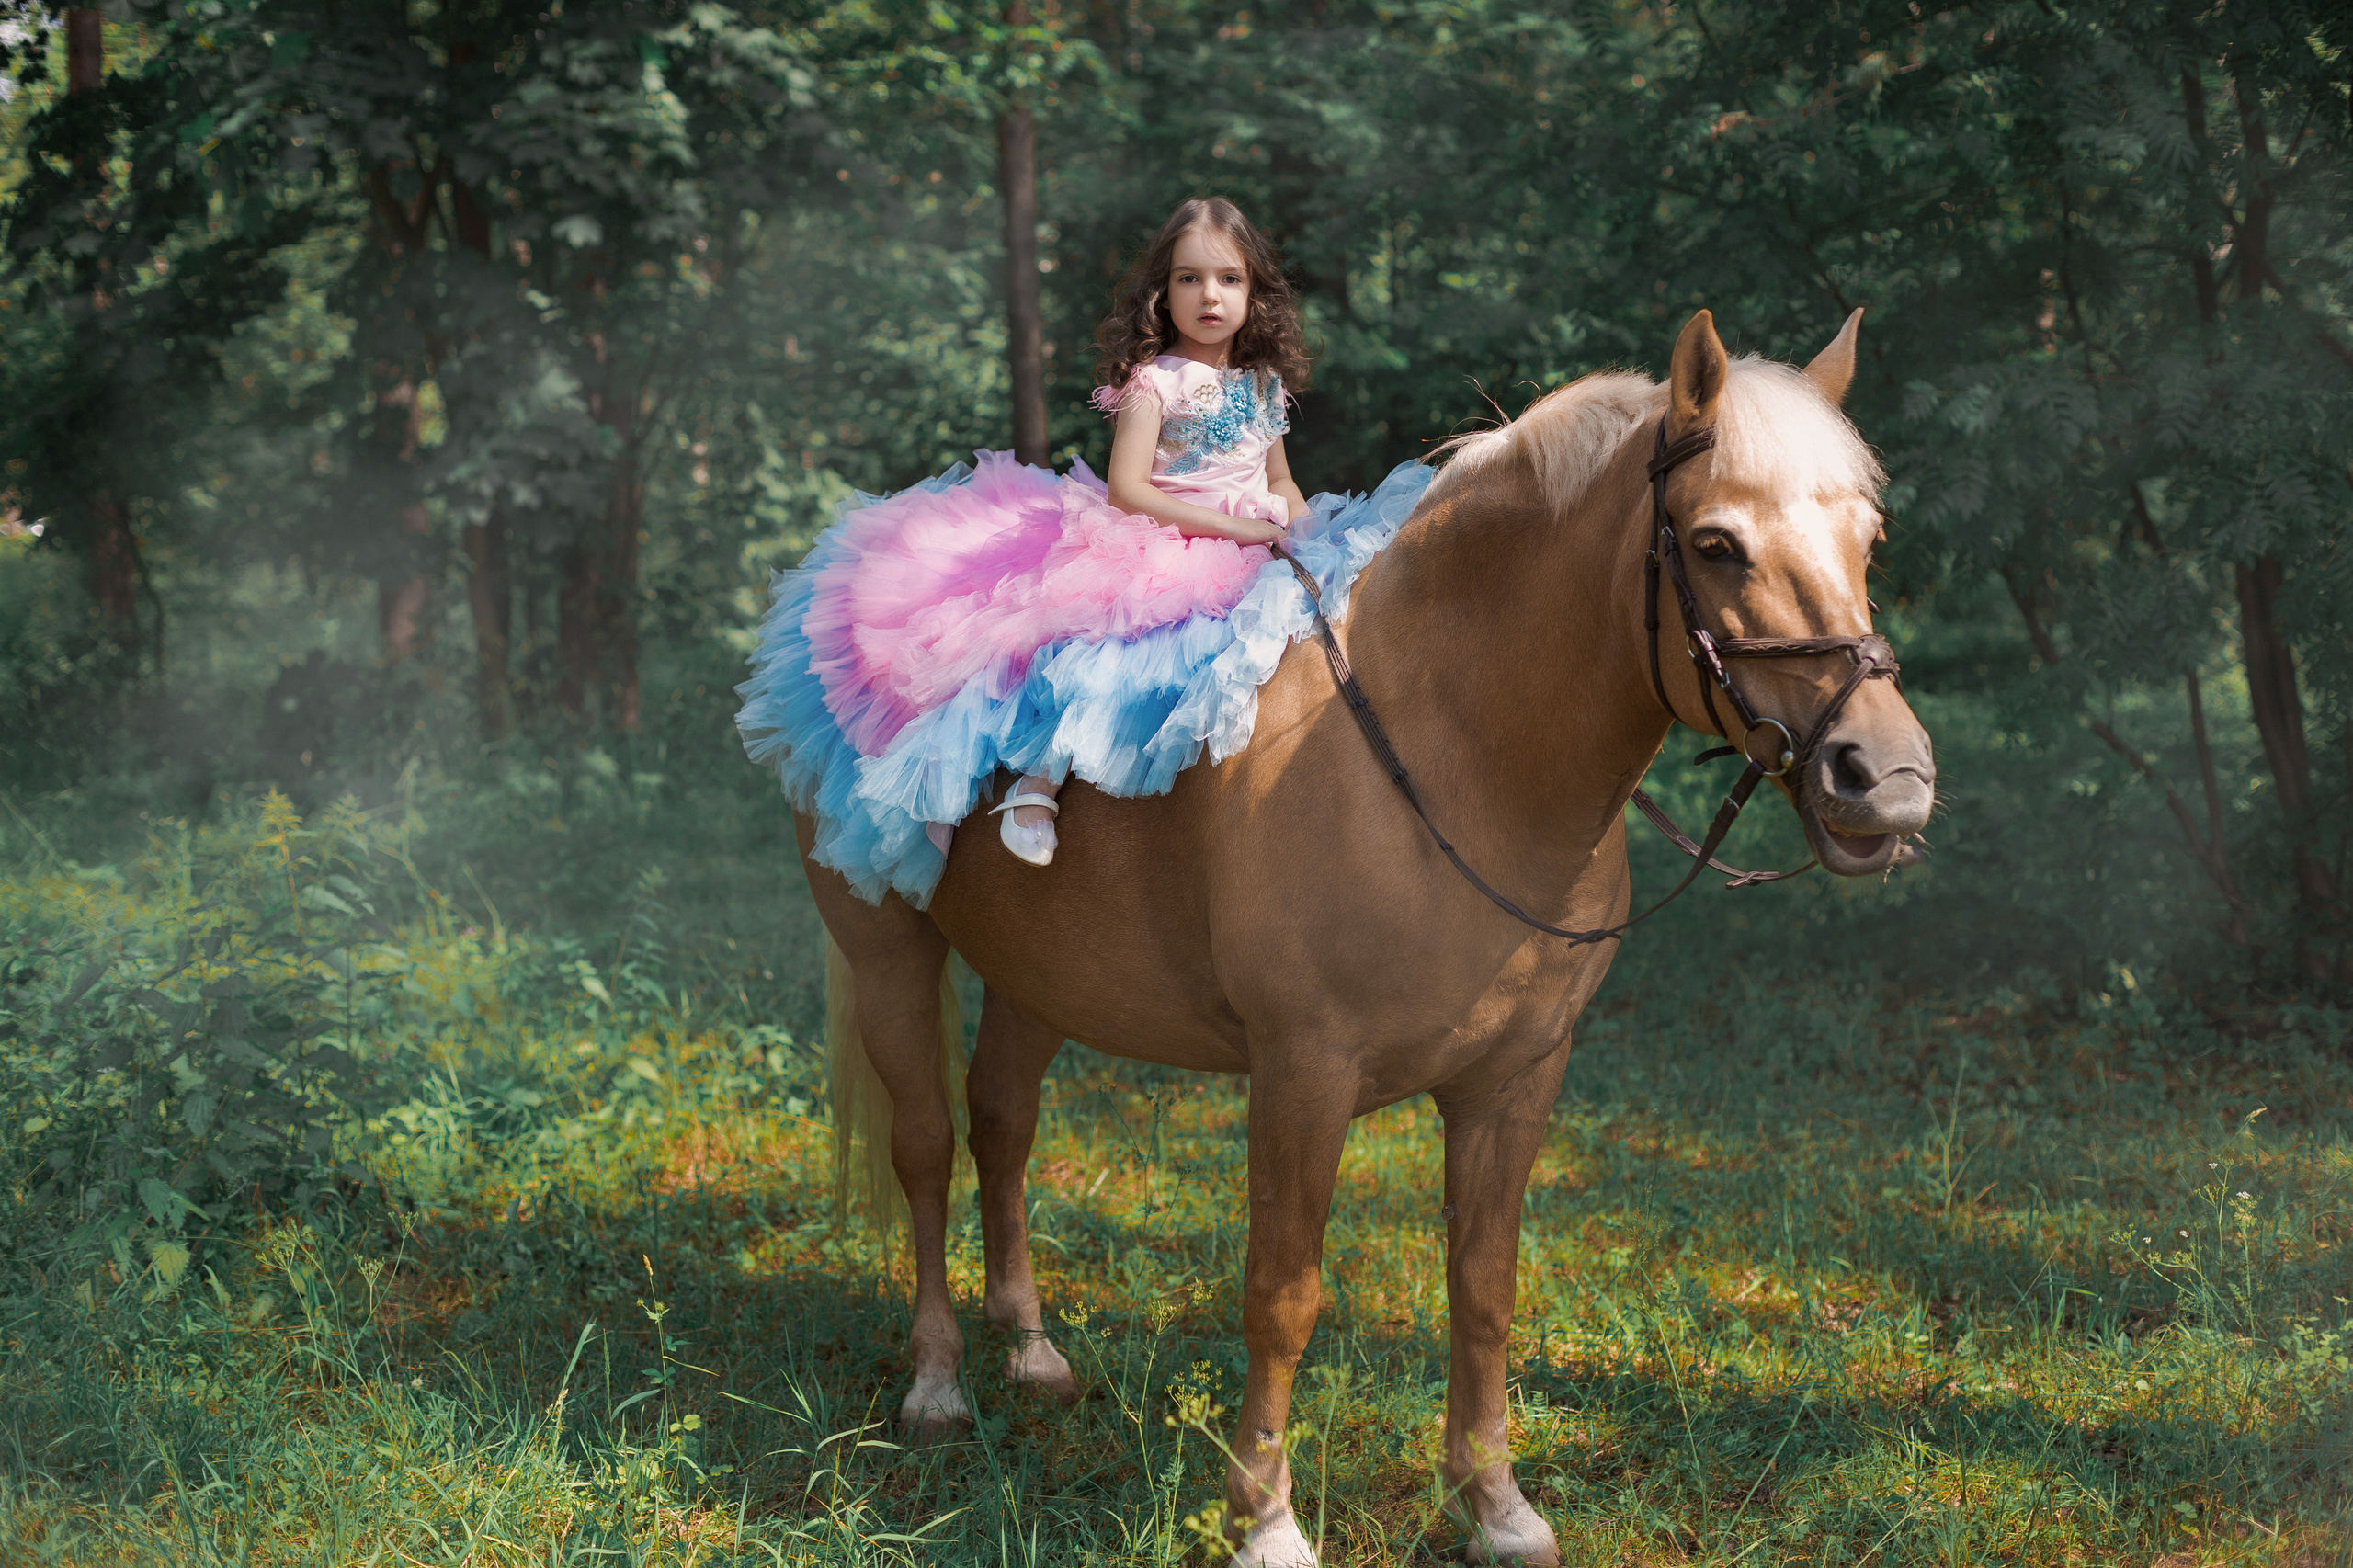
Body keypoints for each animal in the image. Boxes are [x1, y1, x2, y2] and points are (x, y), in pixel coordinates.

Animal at [791, 309, 1936, 1567]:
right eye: (1719, 543)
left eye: (1869, 537)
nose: (1887, 779)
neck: (1451, 752)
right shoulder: (1304, 1074)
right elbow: (1282, 1292)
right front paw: (1264, 1518)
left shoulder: (1513, 1080)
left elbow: (1483, 1284)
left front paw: (1495, 1504)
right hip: (887, 953)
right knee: (927, 1147)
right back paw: (938, 1384)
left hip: (1040, 978)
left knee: (1002, 1124)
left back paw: (1033, 1351)